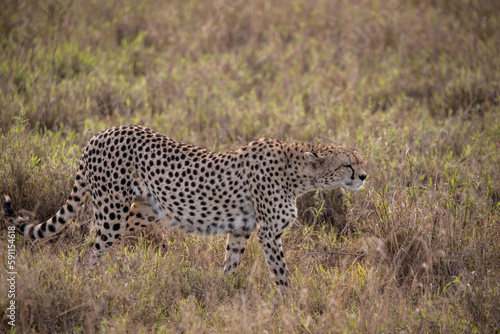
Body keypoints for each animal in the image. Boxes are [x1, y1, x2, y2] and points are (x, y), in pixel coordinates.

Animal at [1, 125, 366, 288]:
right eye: (347, 164)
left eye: (360, 161)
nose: (364, 176)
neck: (299, 174)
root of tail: (102, 132)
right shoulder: (268, 234)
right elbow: (281, 274)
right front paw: (289, 304)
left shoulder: (241, 230)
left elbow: (231, 264)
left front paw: (223, 294)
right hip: (111, 213)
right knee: (88, 247)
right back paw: (89, 283)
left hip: (144, 210)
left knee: (99, 241)